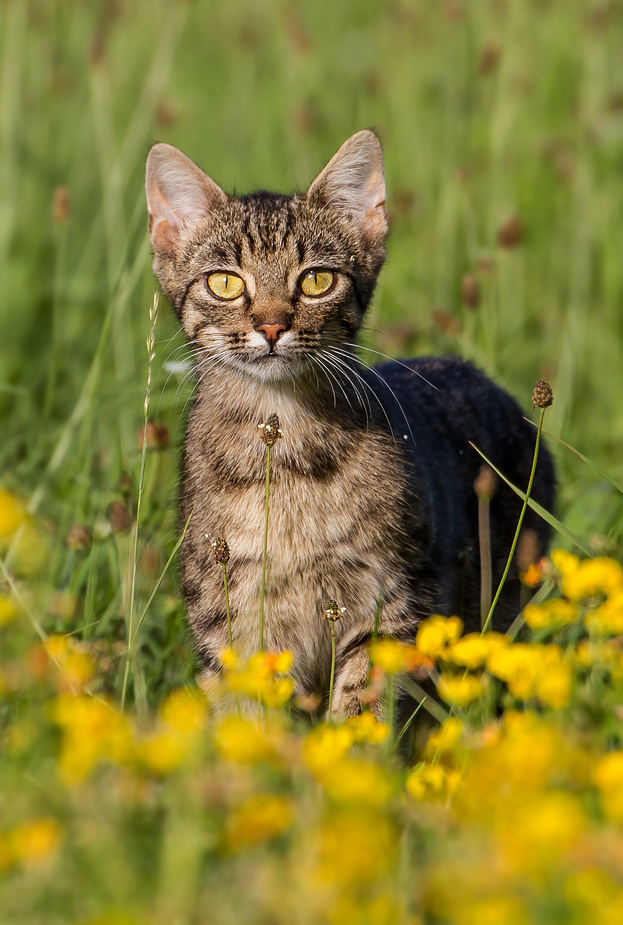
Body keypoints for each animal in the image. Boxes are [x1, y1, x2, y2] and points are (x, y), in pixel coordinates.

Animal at [146, 132, 556, 716]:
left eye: (317, 280)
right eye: (224, 283)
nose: (271, 325)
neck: (287, 450)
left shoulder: (392, 599)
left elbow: (364, 708)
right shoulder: (230, 617)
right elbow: (250, 719)